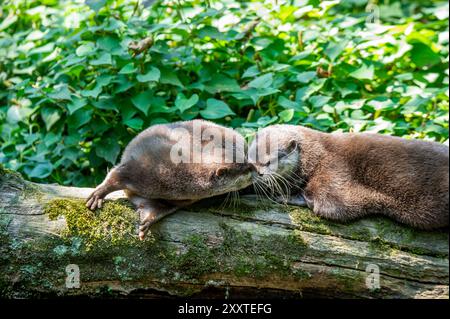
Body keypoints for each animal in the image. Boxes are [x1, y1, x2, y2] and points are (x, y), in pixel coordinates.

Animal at [85, 120, 253, 240]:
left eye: (247, 163)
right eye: (246, 169)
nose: (255, 169)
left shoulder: (182, 199)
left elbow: (159, 207)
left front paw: (147, 220)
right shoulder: (138, 166)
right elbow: (114, 176)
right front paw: (97, 195)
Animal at [248, 125, 448, 230]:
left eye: (271, 160)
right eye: (251, 158)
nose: (259, 172)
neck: (316, 156)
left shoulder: (333, 169)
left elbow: (332, 205)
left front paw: (287, 197)